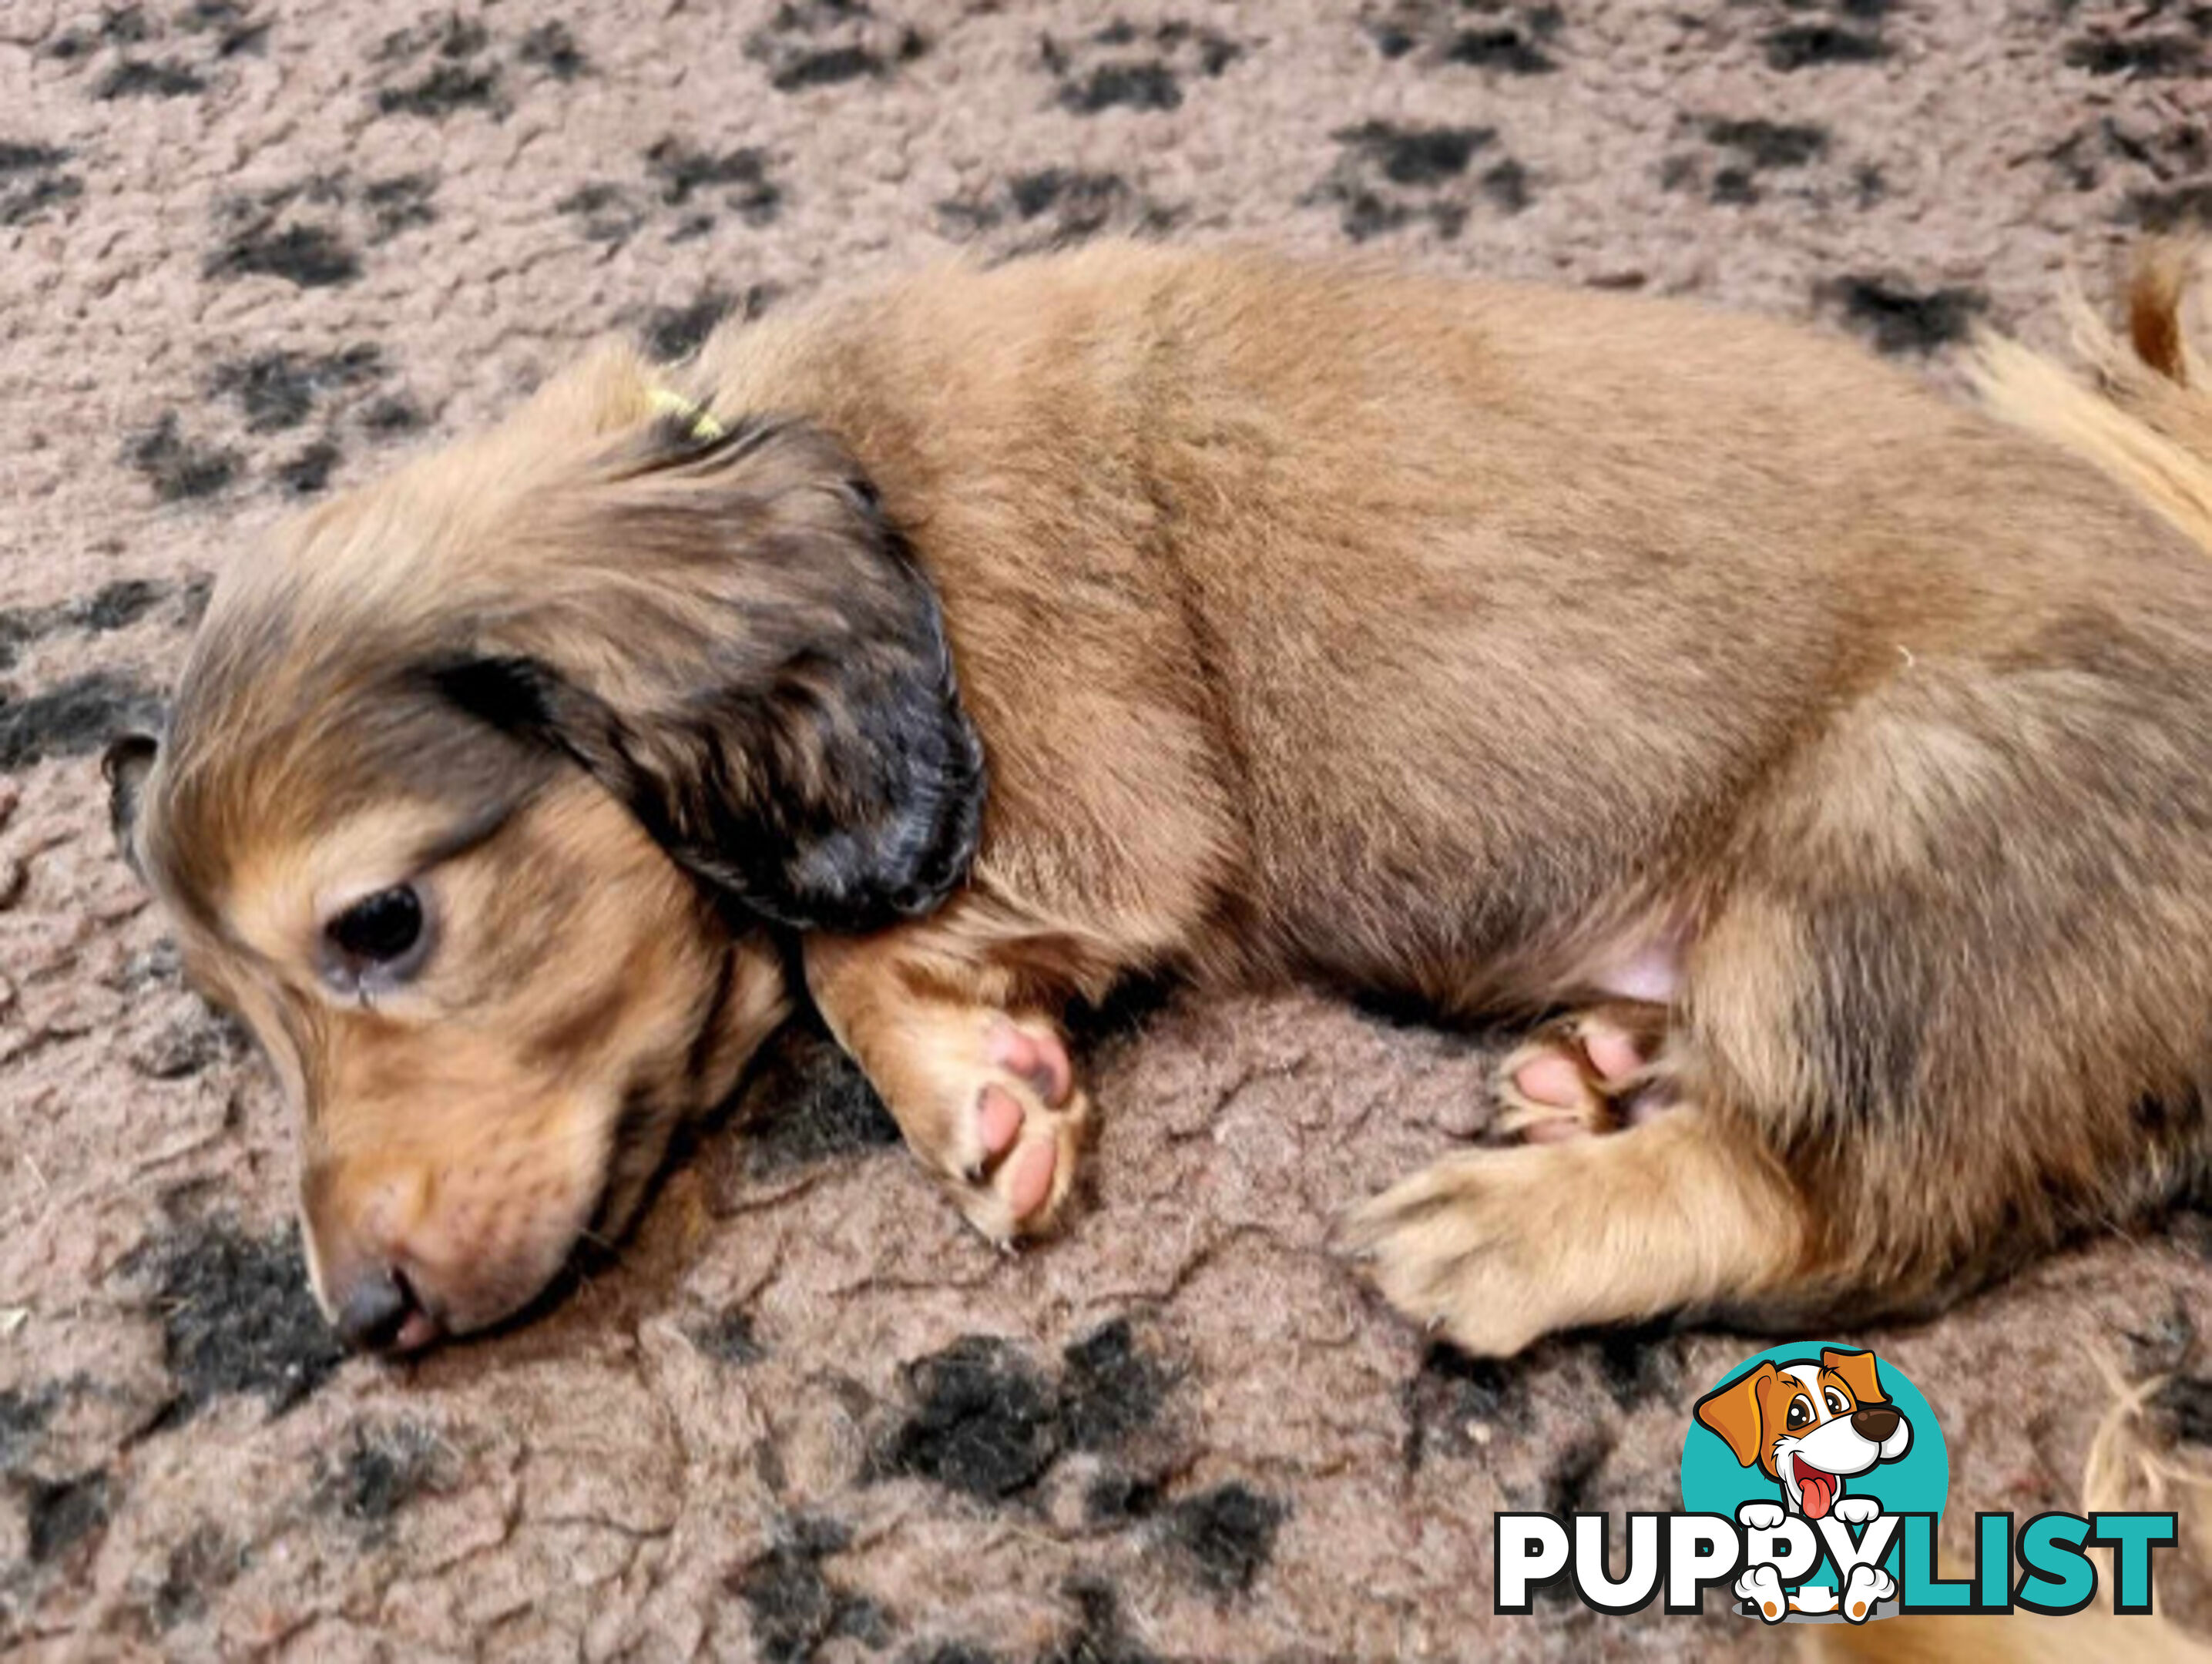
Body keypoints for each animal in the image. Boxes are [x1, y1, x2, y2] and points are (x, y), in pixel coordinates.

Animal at [103, 250, 2212, 1363]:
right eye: (234, 1011)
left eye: (382, 923)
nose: (355, 1317)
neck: (856, 470)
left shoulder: (1098, 799)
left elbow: (836, 952)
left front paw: (972, 1091)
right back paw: (1600, 1065)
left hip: (1900, 828)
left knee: (1838, 1205)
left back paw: (1511, 1227)